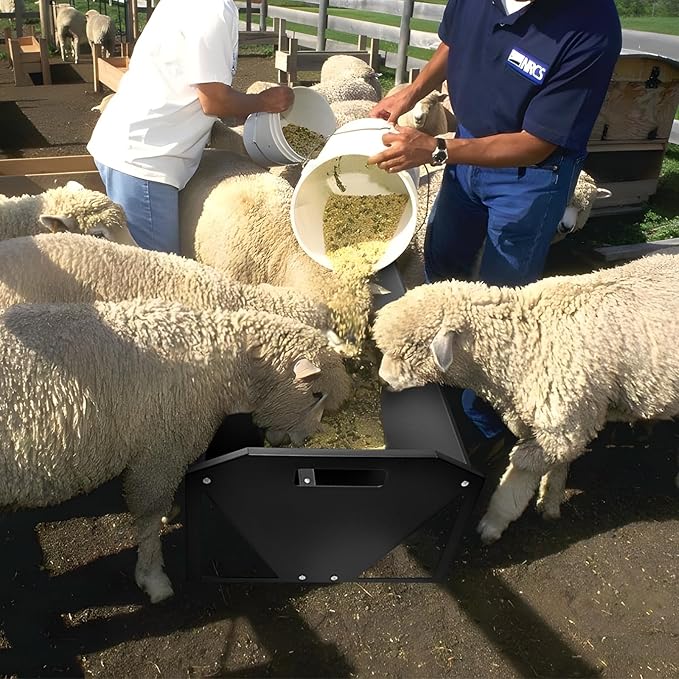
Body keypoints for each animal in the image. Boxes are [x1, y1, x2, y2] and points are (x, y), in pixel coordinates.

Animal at [0, 298, 351, 602]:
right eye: (315, 393)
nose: (304, 438)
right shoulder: (160, 450)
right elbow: (148, 515)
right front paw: (153, 577)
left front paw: (170, 515)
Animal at [373, 254, 679, 543]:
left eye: (411, 348)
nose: (382, 381)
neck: (523, 342)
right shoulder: (566, 417)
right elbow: (558, 466)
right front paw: (550, 502)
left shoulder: (560, 424)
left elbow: (519, 474)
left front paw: (493, 523)